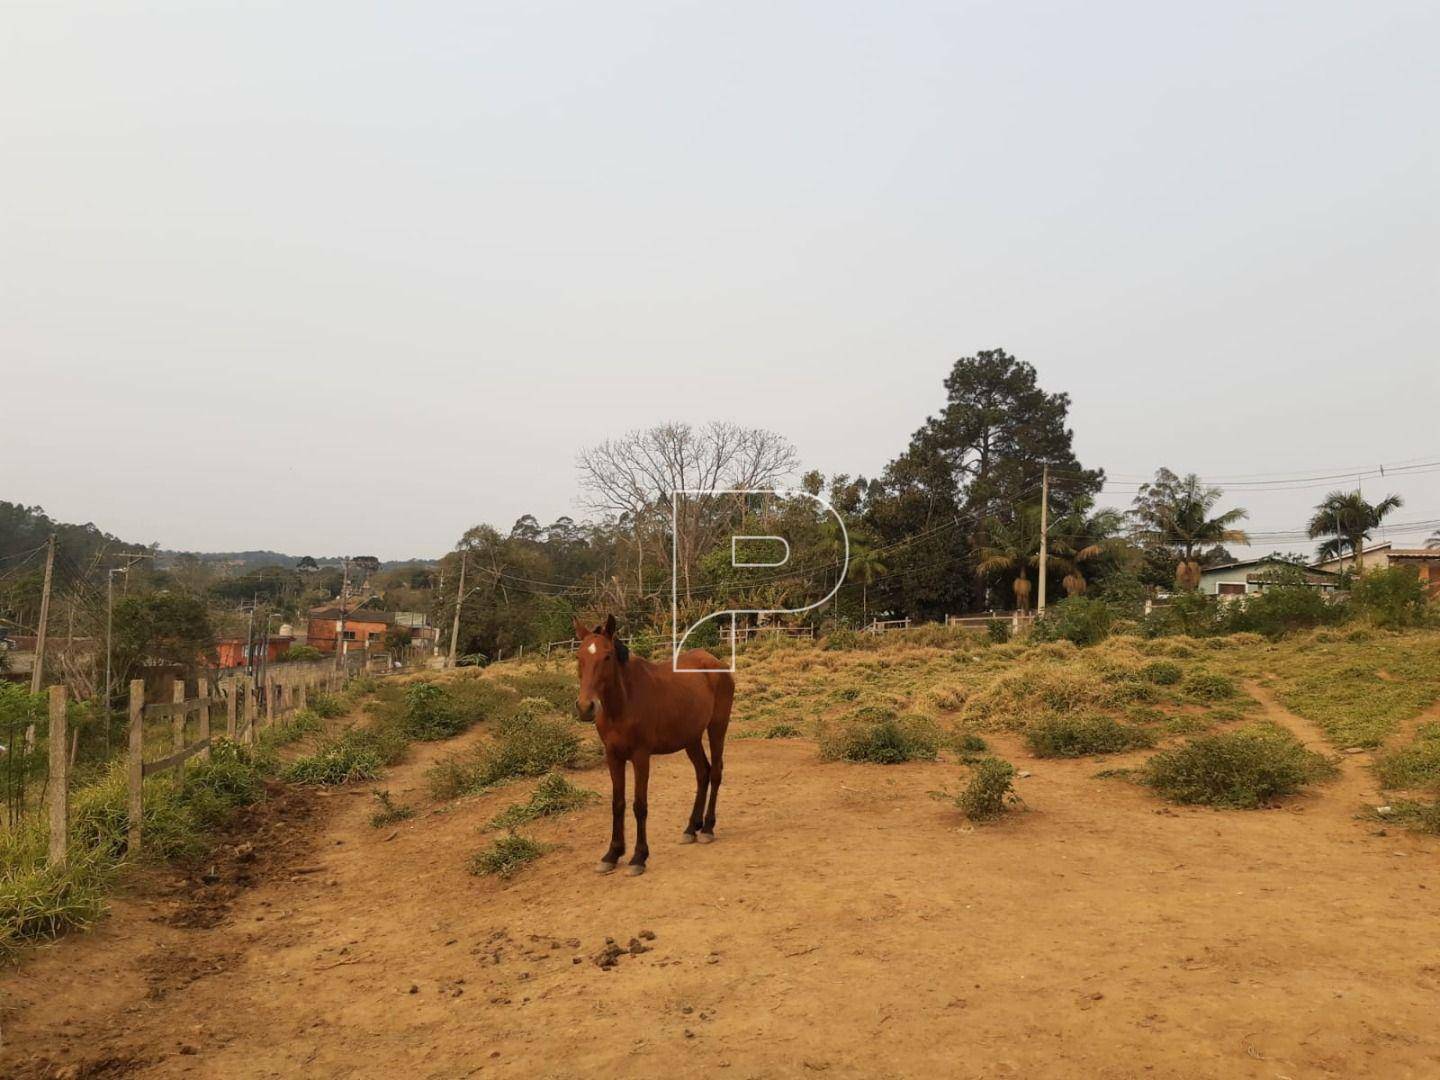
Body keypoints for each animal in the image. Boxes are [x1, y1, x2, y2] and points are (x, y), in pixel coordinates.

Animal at [570, 616, 731, 881]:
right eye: (578, 656)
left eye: (607, 656)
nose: (586, 707)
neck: (623, 704)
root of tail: (716, 662)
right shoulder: (613, 756)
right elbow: (618, 804)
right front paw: (612, 854)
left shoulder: (640, 757)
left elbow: (639, 805)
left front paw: (638, 857)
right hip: (691, 738)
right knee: (703, 773)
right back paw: (691, 827)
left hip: (717, 727)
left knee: (716, 772)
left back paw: (707, 827)